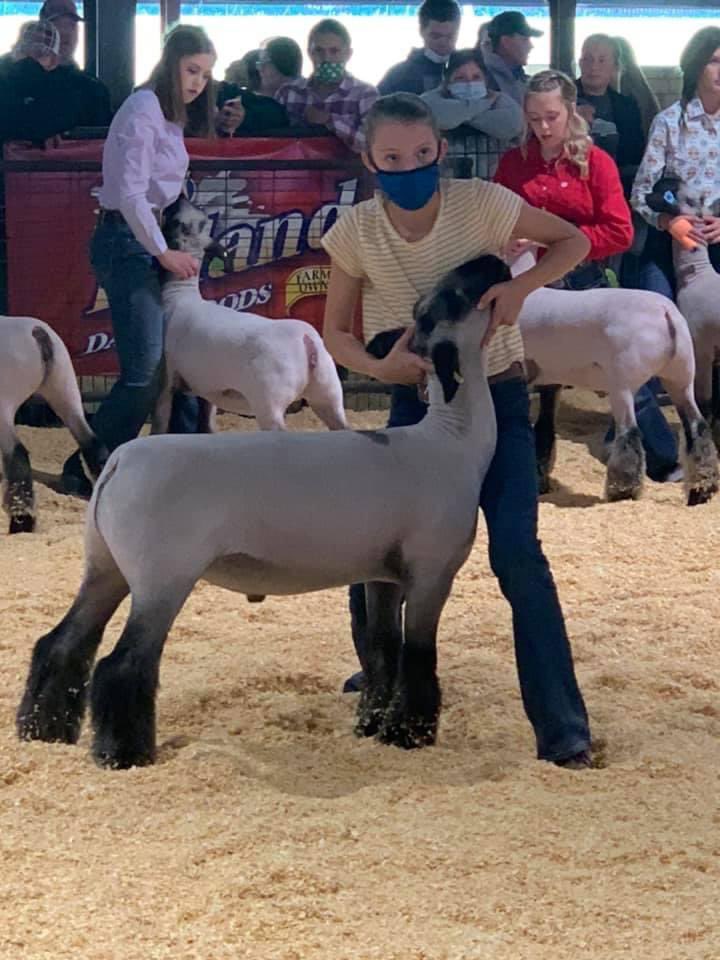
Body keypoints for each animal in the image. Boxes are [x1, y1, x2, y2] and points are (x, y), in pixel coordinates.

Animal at [0, 316, 106, 534]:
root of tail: (36, 332)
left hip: (4, 400)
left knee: (17, 455)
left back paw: (21, 522)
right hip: (64, 386)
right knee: (92, 444)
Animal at [15, 254, 507, 769]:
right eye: (454, 295)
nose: (493, 262)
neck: (453, 438)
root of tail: (117, 462)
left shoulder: (383, 576)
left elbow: (383, 651)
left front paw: (372, 726)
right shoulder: (433, 571)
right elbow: (417, 657)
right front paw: (407, 734)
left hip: (106, 565)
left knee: (62, 644)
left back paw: (43, 731)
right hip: (162, 574)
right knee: (122, 664)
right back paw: (123, 754)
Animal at [152, 196, 347, 434]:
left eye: (177, 223)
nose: (181, 197)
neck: (180, 292)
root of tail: (306, 339)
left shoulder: (166, 377)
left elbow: (160, 420)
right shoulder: (209, 388)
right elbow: (207, 422)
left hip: (270, 402)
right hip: (328, 393)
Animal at [510, 250, 718, 505]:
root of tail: (665, 313)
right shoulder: (550, 381)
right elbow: (544, 431)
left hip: (623, 384)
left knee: (629, 435)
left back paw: (621, 491)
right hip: (681, 378)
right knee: (697, 428)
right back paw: (701, 489)